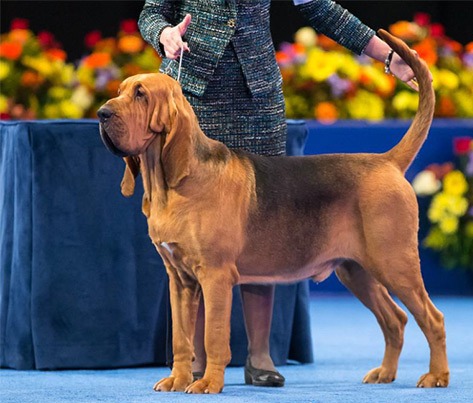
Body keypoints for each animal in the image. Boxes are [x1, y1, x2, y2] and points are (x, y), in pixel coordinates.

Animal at [97, 30, 450, 394]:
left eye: (140, 94)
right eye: (120, 91)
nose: (101, 114)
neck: (170, 183)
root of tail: (386, 161)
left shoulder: (215, 276)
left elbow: (212, 337)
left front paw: (208, 383)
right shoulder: (180, 280)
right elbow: (183, 339)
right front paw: (179, 379)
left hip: (395, 264)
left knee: (432, 318)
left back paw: (437, 375)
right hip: (356, 270)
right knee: (396, 319)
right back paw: (385, 373)